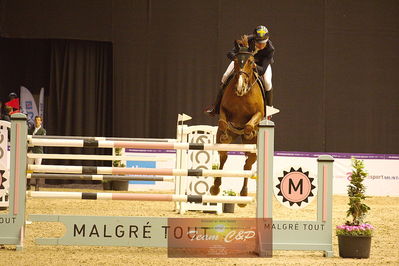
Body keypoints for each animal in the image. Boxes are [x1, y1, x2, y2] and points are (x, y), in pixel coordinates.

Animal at [209, 35, 266, 208]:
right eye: (235, 60)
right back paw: (215, 188)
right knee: (223, 157)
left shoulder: (258, 113)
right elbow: (223, 122)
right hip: (224, 146)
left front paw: (249, 133)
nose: (240, 88)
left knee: (248, 165)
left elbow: (248, 125)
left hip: (254, 151)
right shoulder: (223, 110)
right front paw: (225, 135)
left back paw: (243, 195)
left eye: (251, 61)